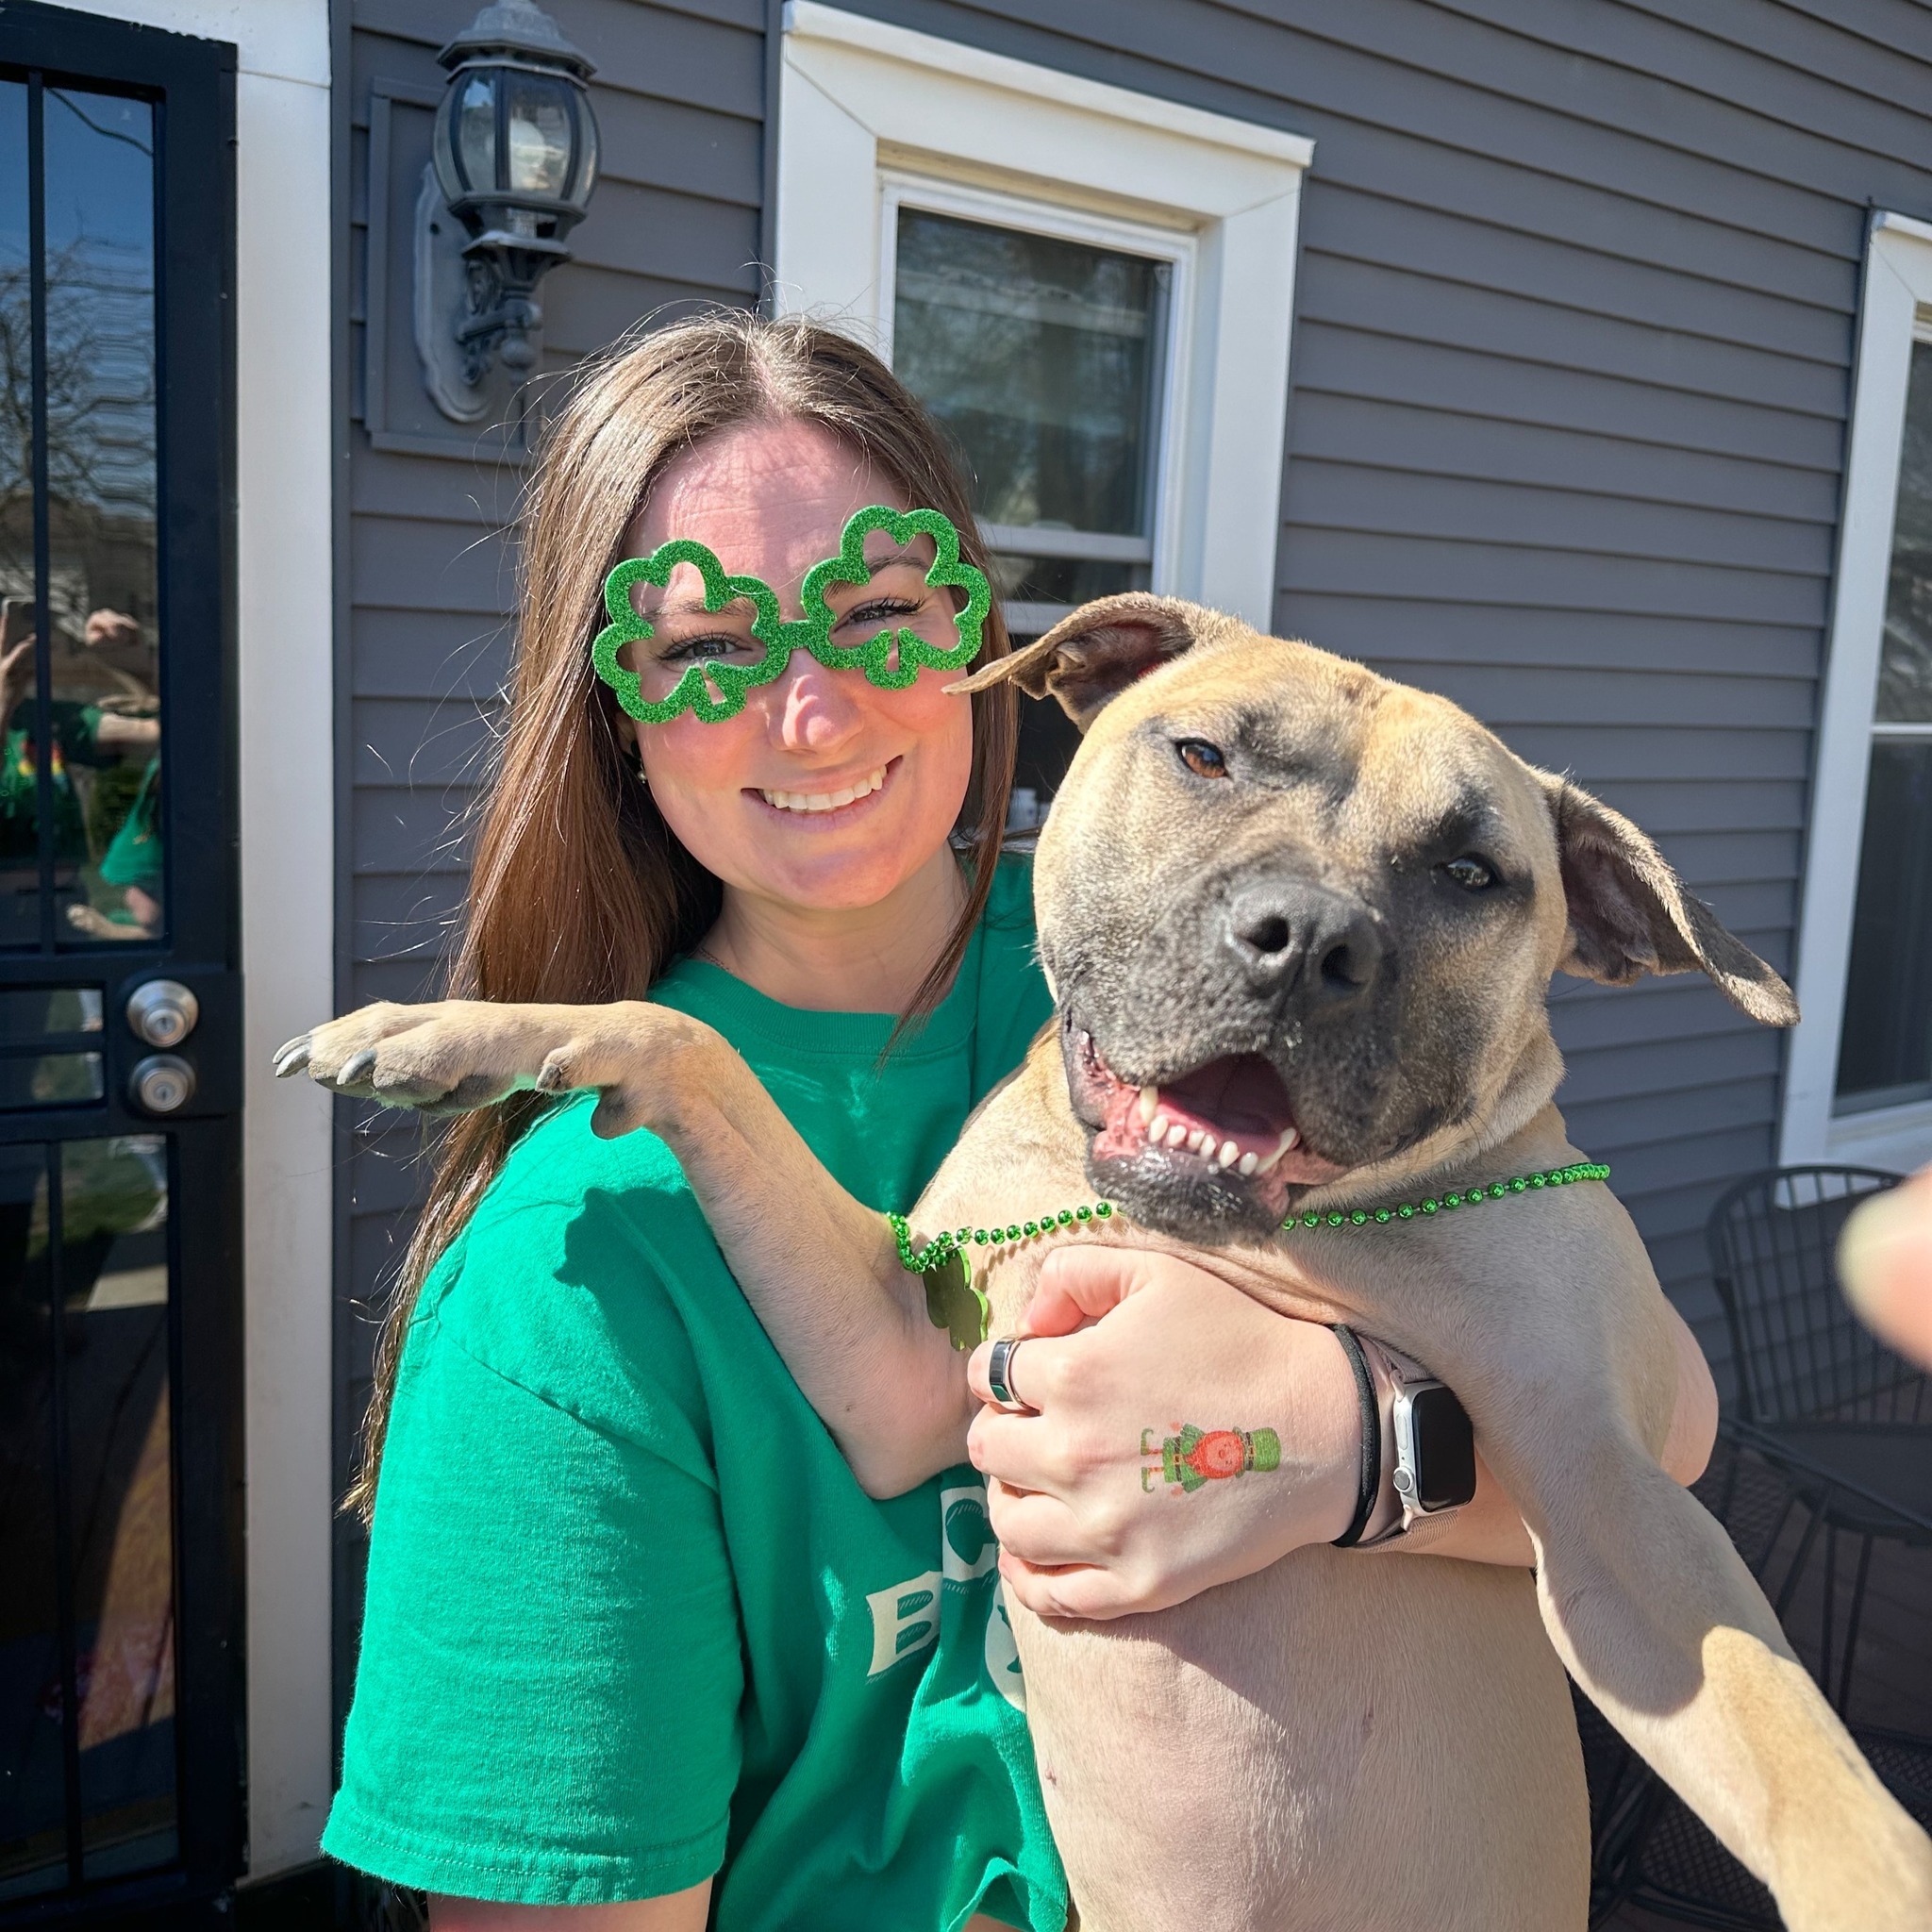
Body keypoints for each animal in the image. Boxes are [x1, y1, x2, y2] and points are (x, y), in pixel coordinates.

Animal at [286, 594, 1932, 1924]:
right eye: (1202, 757)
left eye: (1474, 873)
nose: (1307, 938)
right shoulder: (903, 1368)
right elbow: (686, 1038)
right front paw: (454, 1031)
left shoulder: (1610, 1496)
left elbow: (1795, 1752)